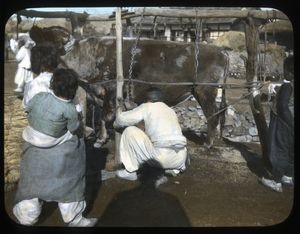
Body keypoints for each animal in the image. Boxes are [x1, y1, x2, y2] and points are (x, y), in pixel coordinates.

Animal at [29, 25, 229, 149]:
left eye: (37, 47)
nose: (30, 67)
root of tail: (220, 50)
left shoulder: (110, 89)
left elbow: (106, 116)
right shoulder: (99, 95)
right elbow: (103, 118)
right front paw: (100, 139)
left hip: (205, 90)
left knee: (212, 114)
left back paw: (208, 143)